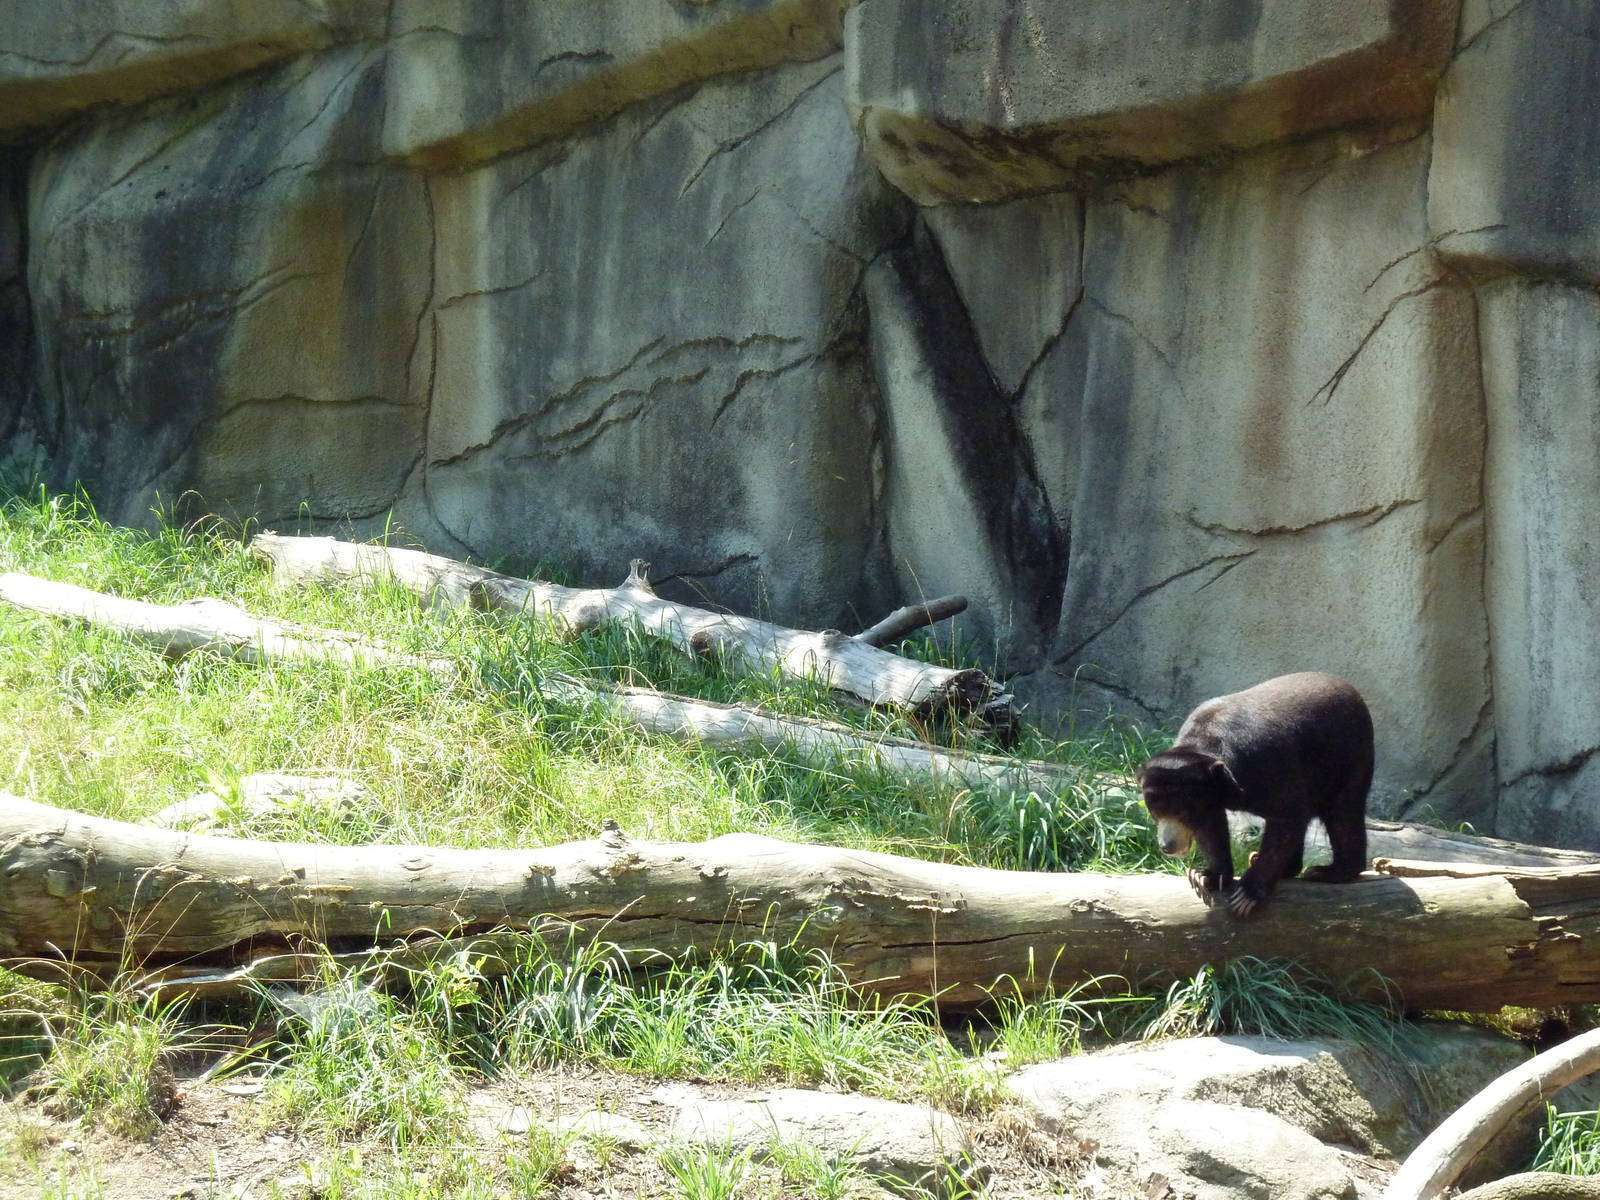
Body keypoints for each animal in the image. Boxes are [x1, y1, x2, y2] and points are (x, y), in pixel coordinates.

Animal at [1135, 671, 1373, 918]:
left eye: (1183, 813)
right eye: (1155, 813)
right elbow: (1211, 830)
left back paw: (1326, 871)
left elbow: (1288, 814)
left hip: (1347, 758)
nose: (1167, 846)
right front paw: (1205, 876)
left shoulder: (1266, 763)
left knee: (1343, 813)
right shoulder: (1211, 796)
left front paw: (1246, 894)